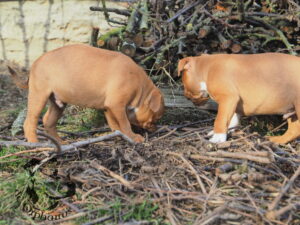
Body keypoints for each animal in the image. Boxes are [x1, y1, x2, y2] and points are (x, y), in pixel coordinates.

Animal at [9, 43, 164, 142]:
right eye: (156, 118)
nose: (156, 128)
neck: (140, 88)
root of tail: (35, 63)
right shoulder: (117, 105)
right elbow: (125, 123)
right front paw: (133, 137)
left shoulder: (109, 107)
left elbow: (114, 124)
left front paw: (119, 135)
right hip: (39, 96)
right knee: (30, 122)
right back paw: (35, 144)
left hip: (58, 103)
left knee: (48, 121)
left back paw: (60, 143)